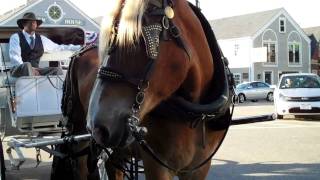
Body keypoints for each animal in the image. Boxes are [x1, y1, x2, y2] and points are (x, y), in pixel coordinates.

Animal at [52, 0, 232, 180]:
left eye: (137, 39)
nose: (97, 126)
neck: (194, 117)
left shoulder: (198, 168)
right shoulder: (157, 167)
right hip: (78, 133)